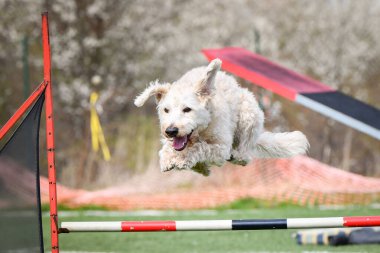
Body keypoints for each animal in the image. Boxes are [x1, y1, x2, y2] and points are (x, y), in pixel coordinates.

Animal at [134, 58, 308, 175]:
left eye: (187, 109)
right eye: (166, 110)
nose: (171, 131)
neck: (202, 130)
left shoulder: (221, 148)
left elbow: (201, 147)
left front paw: (184, 159)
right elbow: (166, 150)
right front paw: (168, 159)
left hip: (249, 116)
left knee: (245, 154)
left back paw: (236, 156)